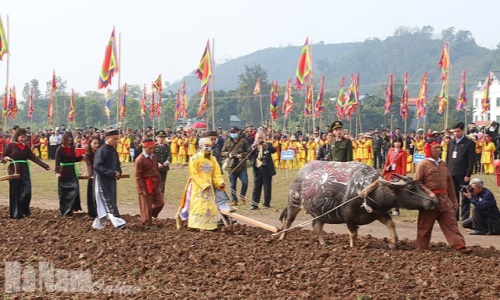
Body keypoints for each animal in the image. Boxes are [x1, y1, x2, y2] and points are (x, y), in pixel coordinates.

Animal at [278, 162, 438, 248]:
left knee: (316, 226)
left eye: (418, 184)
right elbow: (353, 233)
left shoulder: (380, 213)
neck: (369, 191)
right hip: (293, 203)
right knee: (288, 221)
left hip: (319, 213)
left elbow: (391, 224)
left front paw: (393, 242)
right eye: (410, 188)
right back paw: (281, 238)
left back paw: (323, 243)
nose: (433, 201)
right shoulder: (348, 217)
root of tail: (300, 173)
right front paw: (352, 247)